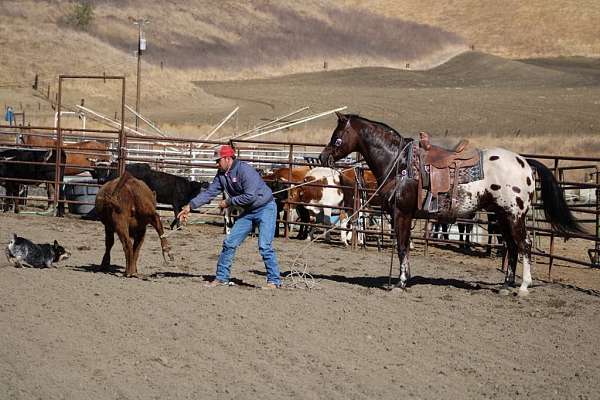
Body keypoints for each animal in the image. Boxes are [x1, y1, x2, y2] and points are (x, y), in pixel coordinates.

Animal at [322, 112, 584, 294]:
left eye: (336, 138)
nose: (323, 157)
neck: (399, 162)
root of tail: (525, 162)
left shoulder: (402, 214)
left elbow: (402, 246)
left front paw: (401, 282)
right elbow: (403, 246)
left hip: (514, 214)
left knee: (524, 245)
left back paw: (523, 287)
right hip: (501, 215)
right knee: (511, 246)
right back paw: (505, 285)